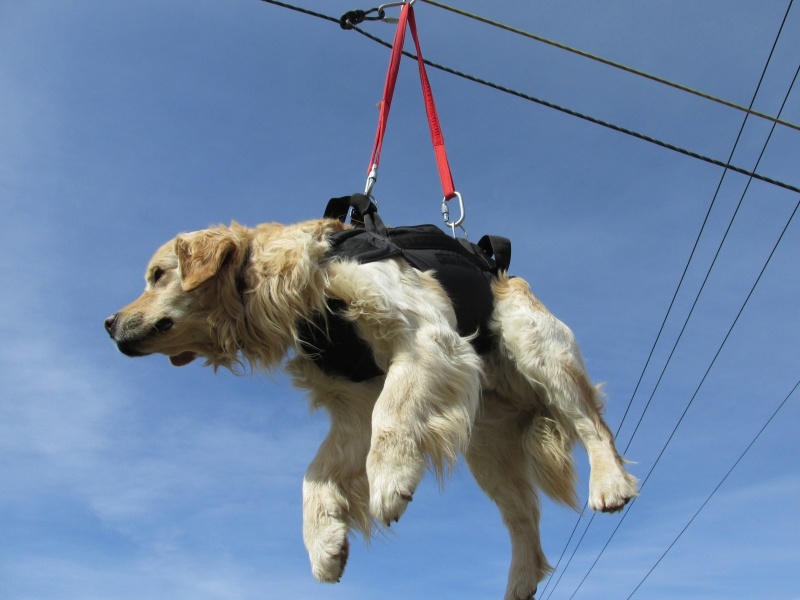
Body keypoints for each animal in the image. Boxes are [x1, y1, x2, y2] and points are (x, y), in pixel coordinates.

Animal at [104, 217, 636, 600]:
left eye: (157, 275)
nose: (108, 323)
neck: (299, 286)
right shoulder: (353, 404)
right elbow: (315, 473)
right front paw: (324, 542)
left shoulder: (424, 335)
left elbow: (391, 417)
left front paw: (390, 480)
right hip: (487, 447)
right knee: (523, 515)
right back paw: (520, 581)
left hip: (539, 351)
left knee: (594, 426)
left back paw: (610, 483)